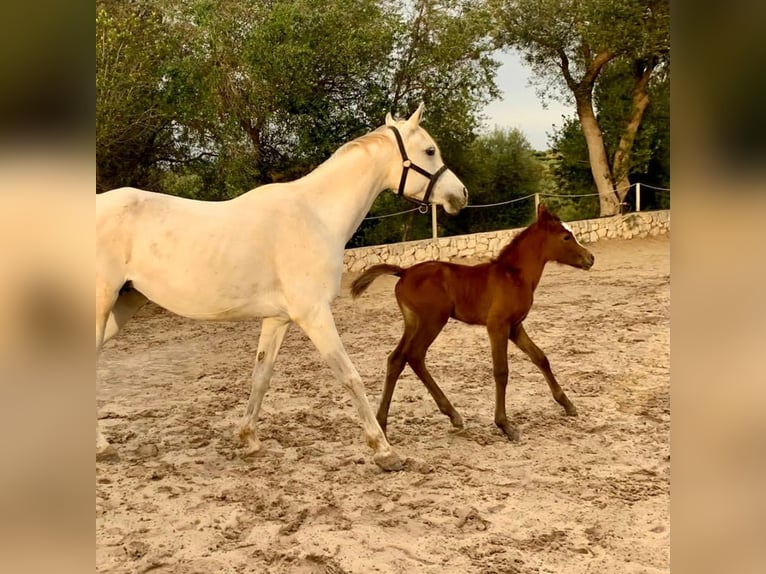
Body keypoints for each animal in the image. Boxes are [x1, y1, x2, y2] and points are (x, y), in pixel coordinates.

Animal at [96, 104, 468, 472]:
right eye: (430, 150)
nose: (461, 194)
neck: (316, 216)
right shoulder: (314, 314)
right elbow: (350, 376)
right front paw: (385, 451)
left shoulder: (277, 320)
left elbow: (261, 376)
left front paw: (249, 439)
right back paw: (102, 448)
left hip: (123, 305)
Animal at [352, 205, 596, 444]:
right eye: (566, 237)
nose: (590, 258)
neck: (514, 275)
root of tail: (404, 272)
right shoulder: (497, 325)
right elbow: (501, 371)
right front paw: (505, 426)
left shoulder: (515, 327)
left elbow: (540, 358)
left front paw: (568, 404)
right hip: (433, 320)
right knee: (415, 355)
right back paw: (448, 414)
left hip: (413, 323)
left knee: (397, 359)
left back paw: (386, 423)